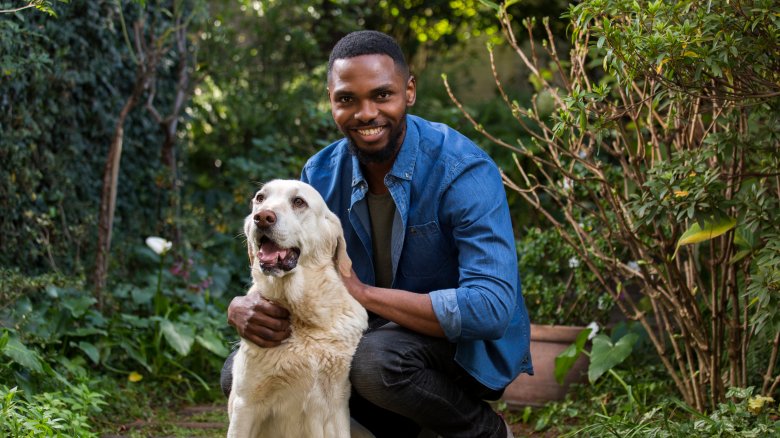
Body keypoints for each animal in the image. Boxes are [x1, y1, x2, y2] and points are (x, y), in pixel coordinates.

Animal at [227, 179, 370, 438]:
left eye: (298, 202)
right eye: (260, 198)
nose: (262, 217)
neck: (301, 316)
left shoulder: (337, 406)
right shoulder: (246, 404)